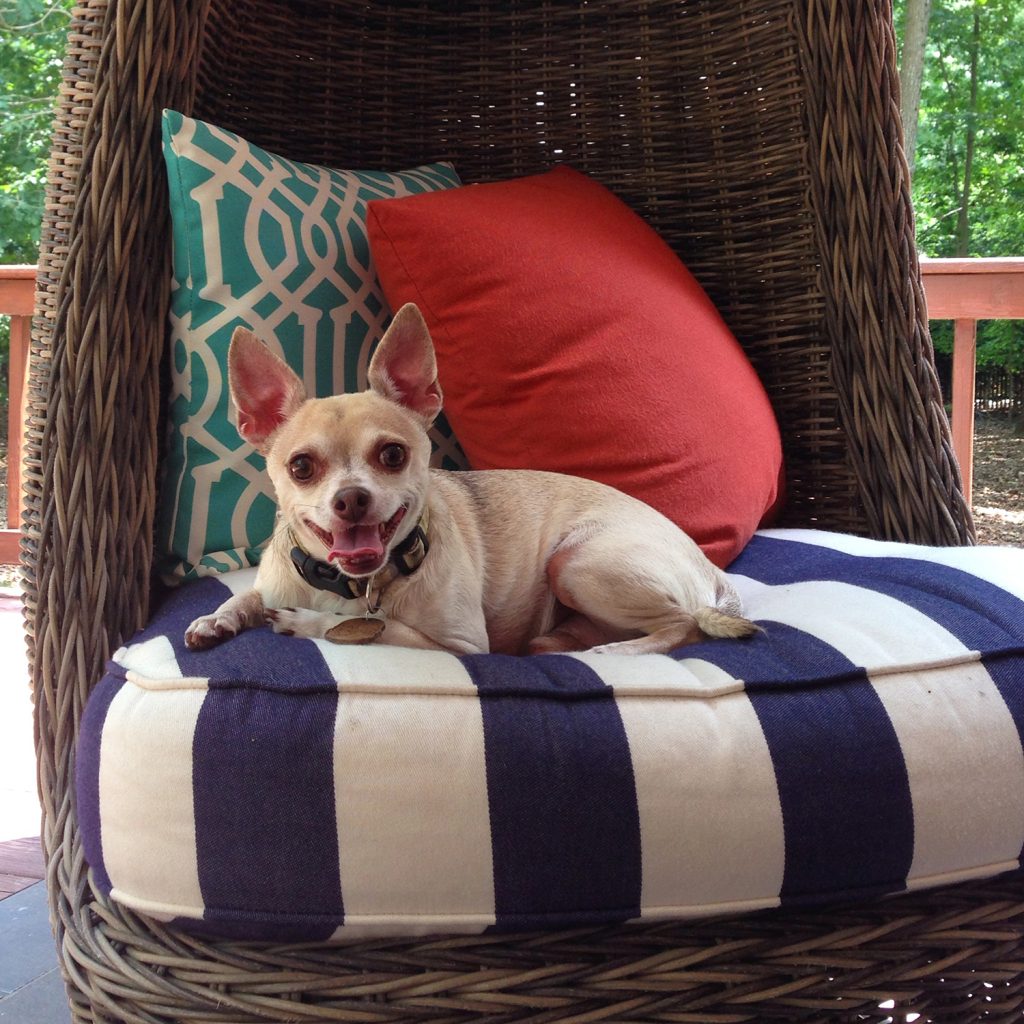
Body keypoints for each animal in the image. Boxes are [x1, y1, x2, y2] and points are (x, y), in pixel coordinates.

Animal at [186, 303, 761, 655]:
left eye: (392, 455)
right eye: (301, 467)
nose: (351, 498)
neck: (356, 586)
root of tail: (709, 569)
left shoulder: (457, 648)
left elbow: (381, 629)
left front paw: (307, 623)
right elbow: (249, 595)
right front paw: (220, 616)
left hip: (577, 563)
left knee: (682, 624)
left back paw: (617, 650)